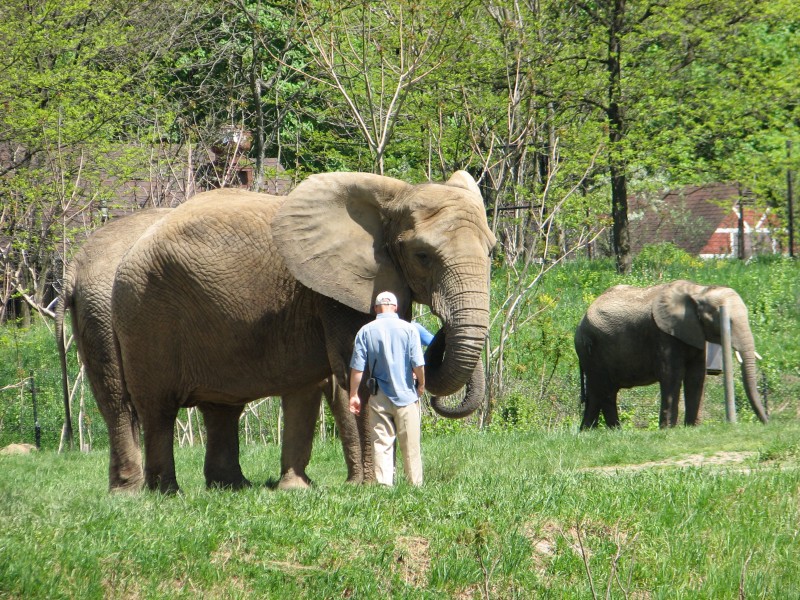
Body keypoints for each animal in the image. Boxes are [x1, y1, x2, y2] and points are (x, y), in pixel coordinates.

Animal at [110, 172, 496, 492]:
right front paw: (370, 489)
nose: (440, 327)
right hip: (145, 312)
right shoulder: (337, 290)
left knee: (224, 408)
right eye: (422, 255)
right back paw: (165, 493)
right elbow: (355, 372)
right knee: (157, 409)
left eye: (492, 252)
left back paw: (238, 488)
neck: (395, 196)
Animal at [574, 280, 769, 429]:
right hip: (591, 350)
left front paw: (692, 428)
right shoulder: (664, 334)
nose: (767, 422)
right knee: (604, 391)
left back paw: (590, 432)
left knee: (599, 392)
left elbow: (696, 376)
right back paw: (611, 431)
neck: (698, 291)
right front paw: (668, 429)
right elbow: (672, 375)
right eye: (727, 322)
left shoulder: (694, 333)